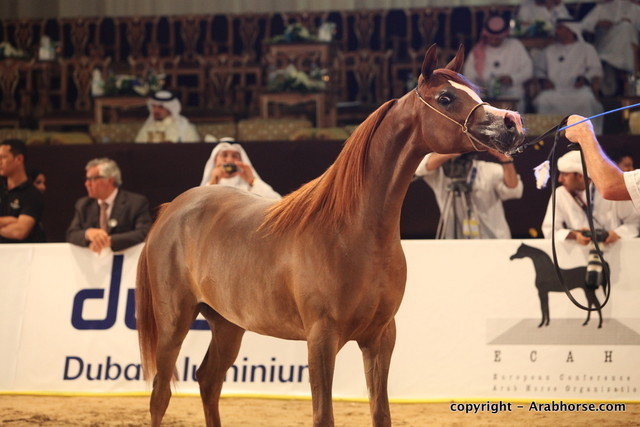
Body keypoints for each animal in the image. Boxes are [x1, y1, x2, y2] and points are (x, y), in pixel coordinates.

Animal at [136, 44, 526, 427]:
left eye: (474, 92)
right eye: (446, 97)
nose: (513, 123)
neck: (352, 233)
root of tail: (173, 209)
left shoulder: (381, 337)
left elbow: (381, 413)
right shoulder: (321, 339)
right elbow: (323, 415)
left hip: (228, 324)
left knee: (208, 381)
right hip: (174, 322)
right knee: (160, 395)